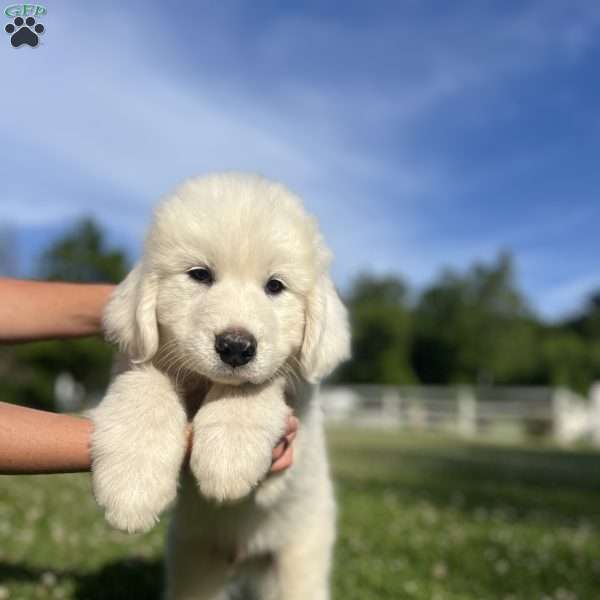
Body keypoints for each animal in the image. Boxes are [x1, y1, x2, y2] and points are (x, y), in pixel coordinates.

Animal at [91, 173, 350, 600]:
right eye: (200, 275)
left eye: (275, 286)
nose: (236, 347)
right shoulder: (140, 359)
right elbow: (145, 393)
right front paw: (131, 489)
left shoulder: (293, 440)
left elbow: (251, 389)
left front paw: (227, 458)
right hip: (193, 560)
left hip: (298, 560)